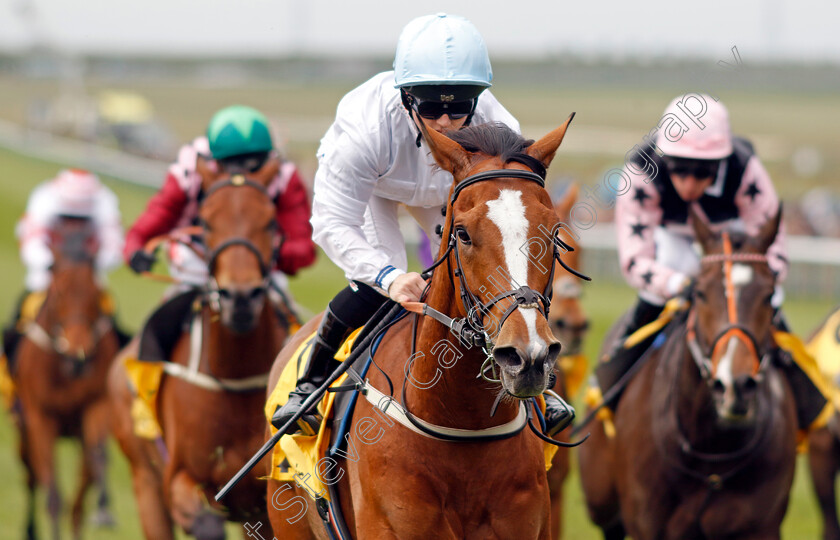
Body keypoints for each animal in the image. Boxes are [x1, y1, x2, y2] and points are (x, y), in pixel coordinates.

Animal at [9, 217, 121, 540]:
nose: (78, 355)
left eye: (95, 294)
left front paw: (104, 508)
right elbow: (53, 494)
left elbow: (98, 459)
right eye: (58, 294)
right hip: (24, 434)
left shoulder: (96, 406)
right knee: (32, 479)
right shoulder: (40, 418)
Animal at [106, 161, 290, 540]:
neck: (233, 377)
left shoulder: (263, 501)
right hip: (144, 481)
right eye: (204, 223)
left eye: (270, 221)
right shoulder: (178, 478)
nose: (240, 298)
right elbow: (205, 522)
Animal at [576, 210, 796, 540]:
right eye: (701, 293)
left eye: (769, 296)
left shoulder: (761, 526)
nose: (735, 386)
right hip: (601, 500)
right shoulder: (646, 523)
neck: (708, 448)